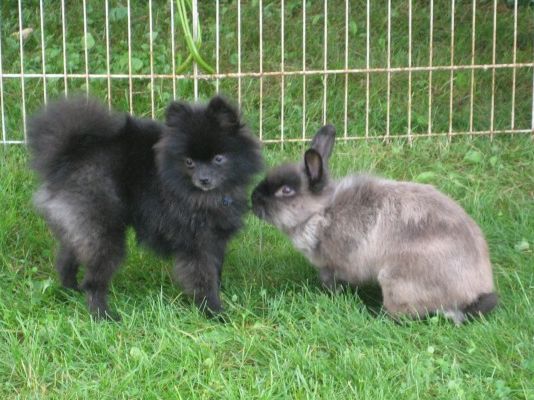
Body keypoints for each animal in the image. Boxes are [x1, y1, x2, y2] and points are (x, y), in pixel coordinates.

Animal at [28, 94, 264, 318]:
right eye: (189, 162)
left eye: (218, 158)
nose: (203, 179)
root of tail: (68, 156)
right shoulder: (195, 243)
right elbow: (202, 278)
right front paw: (214, 311)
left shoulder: (215, 239)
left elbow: (216, 269)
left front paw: (220, 294)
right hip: (102, 228)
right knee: (94, 279)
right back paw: (102, 314)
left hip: (77, 226)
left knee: (67, 259)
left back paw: (70, 291)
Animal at [253, 126, 500, 324]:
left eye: (286, 190)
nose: (254, 199)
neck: (320, 212)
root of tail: (471, 293)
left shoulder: (333, 266)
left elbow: (332, 283)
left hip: (394, 281)